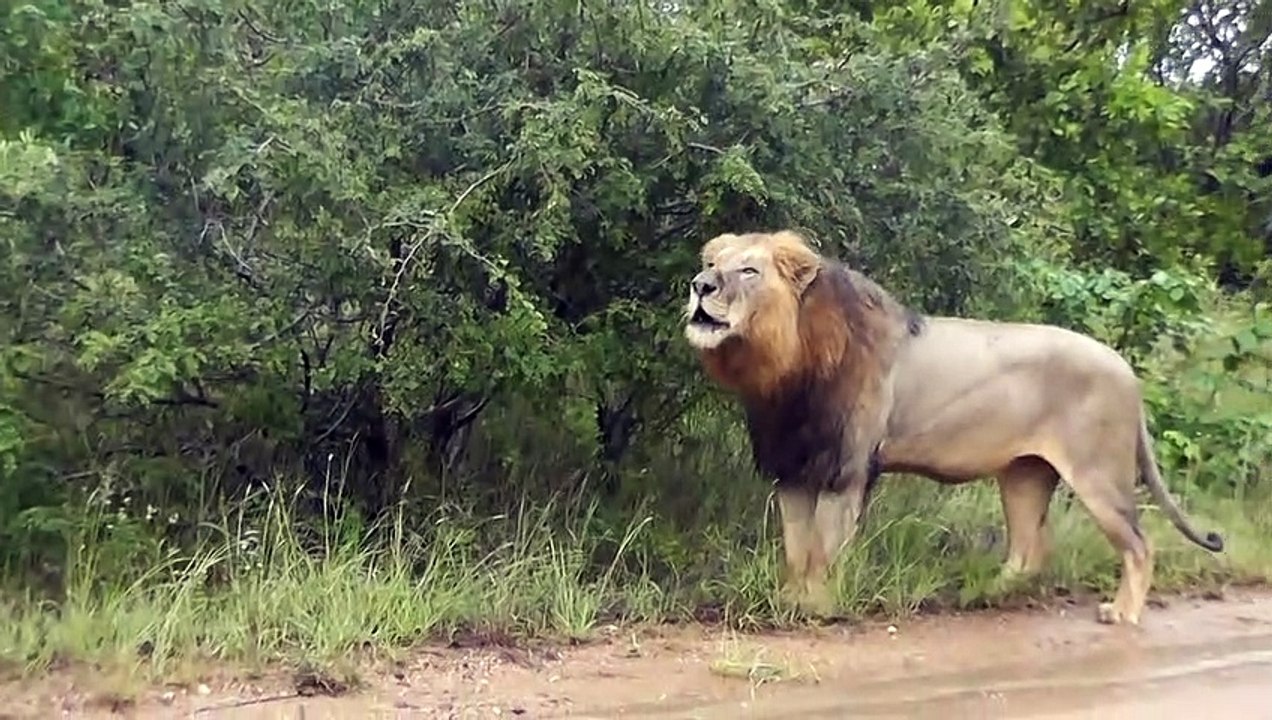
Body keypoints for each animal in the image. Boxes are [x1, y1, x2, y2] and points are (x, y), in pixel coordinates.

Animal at [683, 229, 1224, 626]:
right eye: (712, 264)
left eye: (748, 270)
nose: (699, 285)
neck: (781, 368)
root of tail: (1127, 371)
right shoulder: (792, 469)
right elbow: (795, 550)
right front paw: (789, 599)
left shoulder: (845, 471)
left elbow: (822, 553)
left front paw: (816, 607)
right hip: (1024, 475)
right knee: (1030, 550)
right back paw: (979, 593)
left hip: (1098, 474)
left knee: (1139, 544)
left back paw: (1123, 613)